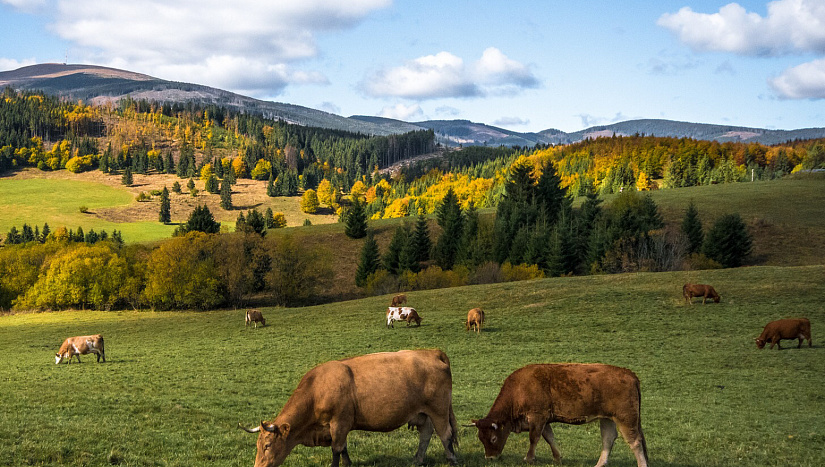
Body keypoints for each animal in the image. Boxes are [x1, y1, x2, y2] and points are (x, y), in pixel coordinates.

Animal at [238, 350, 458, 466]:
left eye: (267, 445)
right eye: (257, 445)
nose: (257, 466)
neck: (317, 389)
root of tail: (431, 352)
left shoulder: (339, 422)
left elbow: (337, 448)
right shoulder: (338, 427)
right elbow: (343, 447)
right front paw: (348, 463)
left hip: (439, 410)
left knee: (445, 435)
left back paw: (451, 459)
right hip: (423, 413)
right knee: (426, 435)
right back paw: (417, 460)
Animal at [466, 366, 648, 467]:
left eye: (493, 438)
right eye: (481, 438)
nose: (490, 458)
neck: (519, 389)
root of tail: (630, 374)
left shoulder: (537, 417)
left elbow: (534, 438)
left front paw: (529, 458)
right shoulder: (545, 420)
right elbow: (549, 438)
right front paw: (557, 458)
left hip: (626, 418)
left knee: (634, 441)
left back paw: (642, 464)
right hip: (607, 418)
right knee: (608, 439)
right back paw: (599, 464)